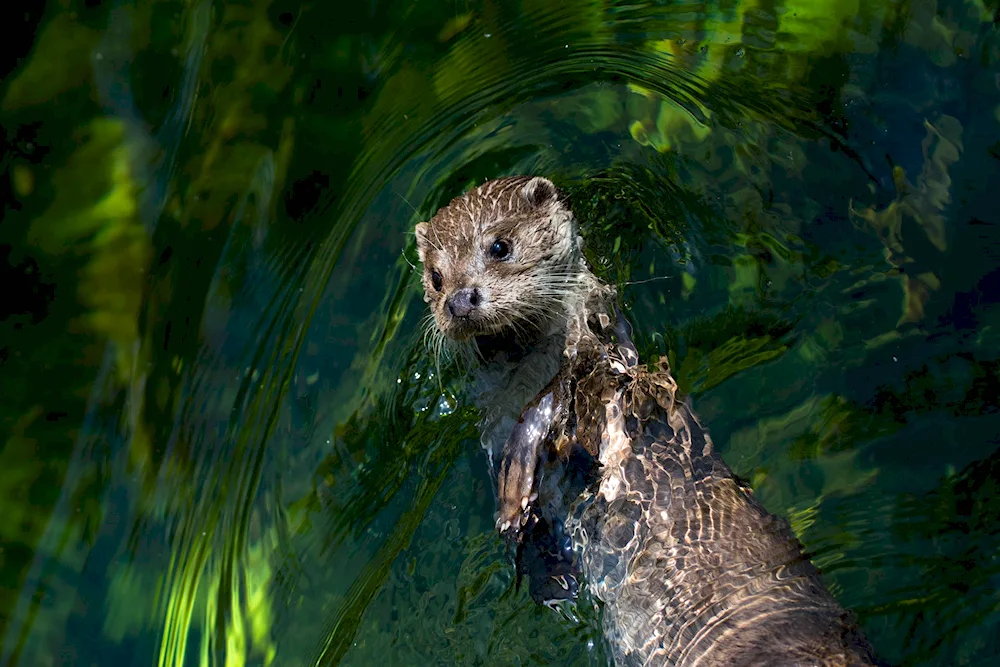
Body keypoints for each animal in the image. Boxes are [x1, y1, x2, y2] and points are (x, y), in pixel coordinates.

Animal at [414, 177, 884, 667]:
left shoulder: (599, 371)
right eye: (435, 277)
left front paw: (515, 489)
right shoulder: (495, 426)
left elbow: (549, 413)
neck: (528, 373)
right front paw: (545, 571)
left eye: (499, 246)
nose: (459, 300)